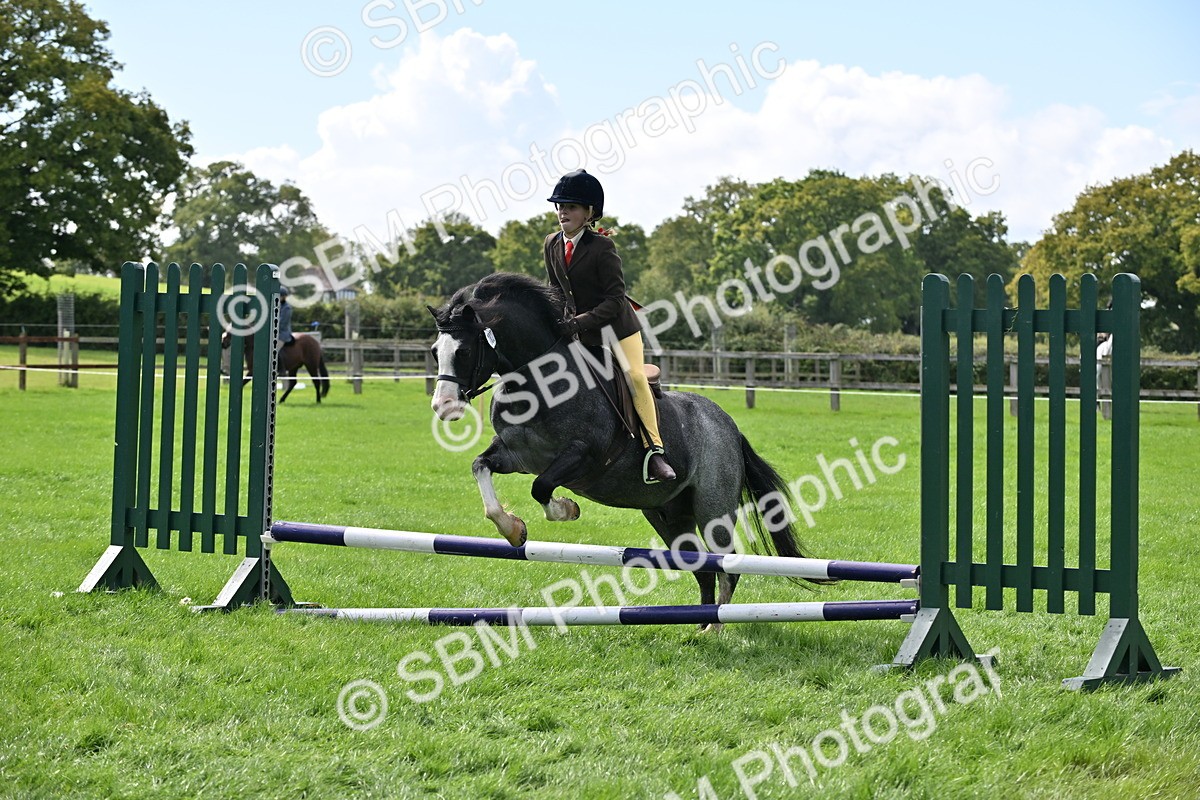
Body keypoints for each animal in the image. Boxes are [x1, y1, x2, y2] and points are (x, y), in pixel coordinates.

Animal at [429, 272, 818, 622]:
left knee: (727, 564)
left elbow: (541, 487)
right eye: (435, 352)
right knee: (702, 567)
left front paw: (566, 509)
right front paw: (512, 529)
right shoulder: (516, 456)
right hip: (668, 514)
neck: (537, 383)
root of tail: (731, 428)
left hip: (713, 509)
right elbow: (481, 468)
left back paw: (715, 626)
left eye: (464, 351)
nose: (443, 406)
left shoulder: (582, 456)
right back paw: (701, 625)